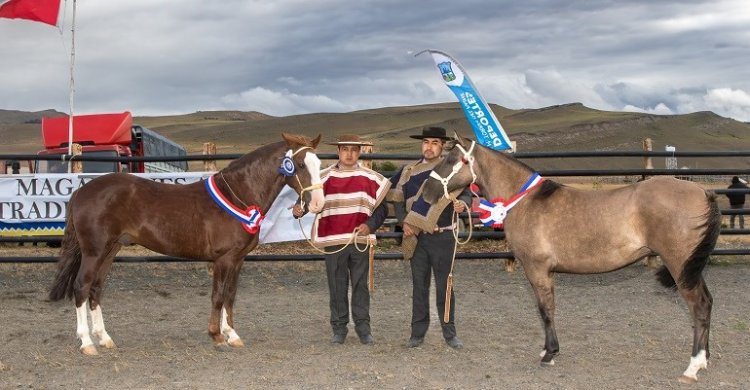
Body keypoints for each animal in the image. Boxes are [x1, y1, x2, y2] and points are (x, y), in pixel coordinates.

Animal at [49, 133, 326, 354]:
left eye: (319, 164)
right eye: (299, 164)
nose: (317, 204)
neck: (237, 195)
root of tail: (81, 191)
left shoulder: (237, 260)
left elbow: (230, 296)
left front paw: (232, 335)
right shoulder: (223, 259)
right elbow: (218, 296)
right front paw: (217, 336)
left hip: (110, 250)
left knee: (96, 288)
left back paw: (104, 338)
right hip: (93, 251)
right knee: (81, 287)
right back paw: (87, 343)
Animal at [424, 134, 724, 384]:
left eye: (451, 159)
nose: (427, 191)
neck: (526, 201)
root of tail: (703, 192)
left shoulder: (537, 269)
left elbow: (545, 310)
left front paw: (549, 353)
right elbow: (547, 309)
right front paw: (547, 349)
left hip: (679, 265)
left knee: (698, 306)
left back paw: (692, 367)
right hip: (690, 268)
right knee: (707, 302)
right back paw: (704, 360)